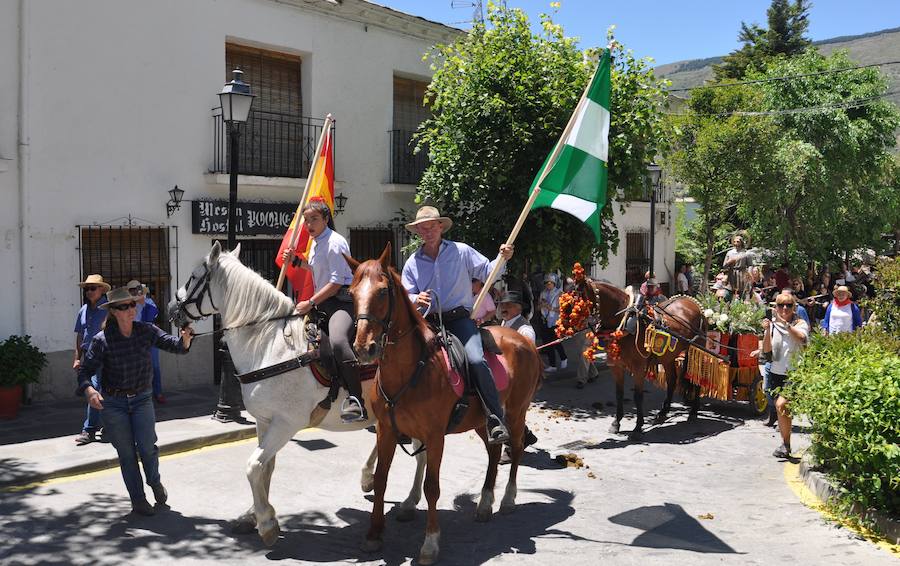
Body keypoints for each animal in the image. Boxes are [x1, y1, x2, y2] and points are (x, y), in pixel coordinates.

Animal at [171, 243, 428, 552]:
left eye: (194, 276)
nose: (172, 309)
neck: (271, 345)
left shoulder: (286, 423)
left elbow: (253, 466)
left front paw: (267, 523)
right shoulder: (264, 421)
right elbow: (265, 468)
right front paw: (253, 515)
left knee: (422, 455)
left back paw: (410, 502)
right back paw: (368, 477)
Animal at [344, 246, 540, 564]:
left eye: (383, 291)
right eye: (351, 293)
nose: (364, 348)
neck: (414, 368)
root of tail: (524, 340)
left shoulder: (435, 437)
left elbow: (432, 487)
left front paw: (430, 544)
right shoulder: (386, 430)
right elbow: (382, 479)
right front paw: (374, 534)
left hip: (516, 412)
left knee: (518, 447)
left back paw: (508, 498)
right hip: (484, 420)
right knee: (494, 451)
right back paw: (485, 503)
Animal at [588, 280, 708, 440]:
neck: (625, 319)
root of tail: (692, 303)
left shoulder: (639, 367)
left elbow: (638, 396)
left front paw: (638, 427)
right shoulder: (616, 366)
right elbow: (619, 394)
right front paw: (616, 423)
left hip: (697, 351)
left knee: (696, 379)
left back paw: (694, 411)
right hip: (668, 357)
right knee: (672, 381)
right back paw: (663, 412)